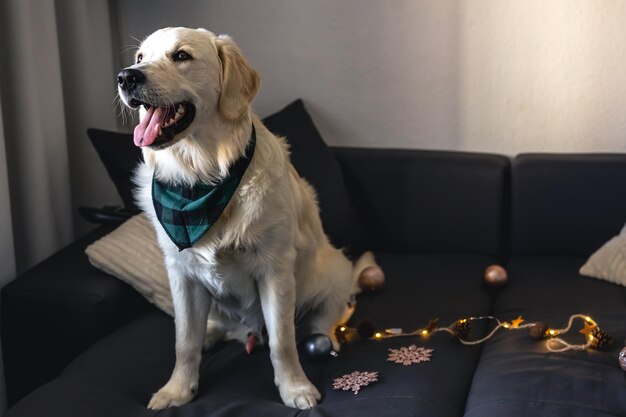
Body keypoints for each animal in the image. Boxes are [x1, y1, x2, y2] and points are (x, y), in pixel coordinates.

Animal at [116, 27, 380, 408]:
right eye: (139, 58)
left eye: (181, 56)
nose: (126, 77)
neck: (201, 178)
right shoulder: (181, 272)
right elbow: (184, 342)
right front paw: (177, 390)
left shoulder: (275, 269)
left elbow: (283, 341)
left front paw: (295, 388)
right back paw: (212, 333)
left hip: (332, 274)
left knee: (323, 321)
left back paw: (323, 340)